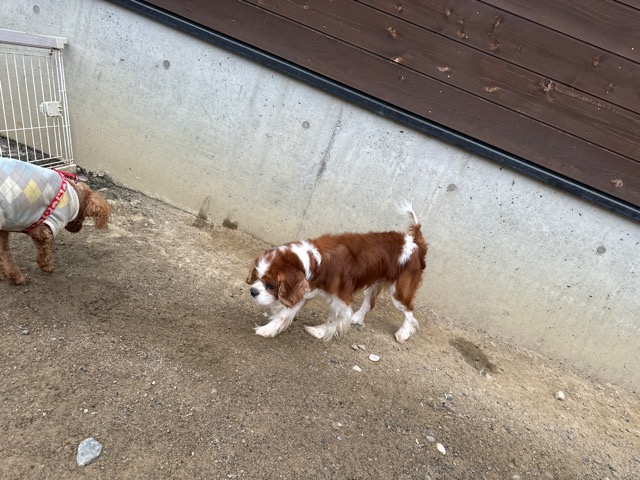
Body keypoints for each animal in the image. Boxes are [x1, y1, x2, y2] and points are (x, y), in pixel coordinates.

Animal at [246, 201, 428, 343]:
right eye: (257, 277)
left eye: (271, 285)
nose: (252, 291)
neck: (315, 260)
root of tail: (415, 242)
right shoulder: (303, 291)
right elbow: (284, 315)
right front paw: (268, 330)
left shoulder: (341, 300)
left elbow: (334, 319)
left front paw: (320, 332)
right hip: (374, 283)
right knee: (369, 303)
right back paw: (357, 317)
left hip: (399, 291)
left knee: (409, 311)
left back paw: (403, 332)